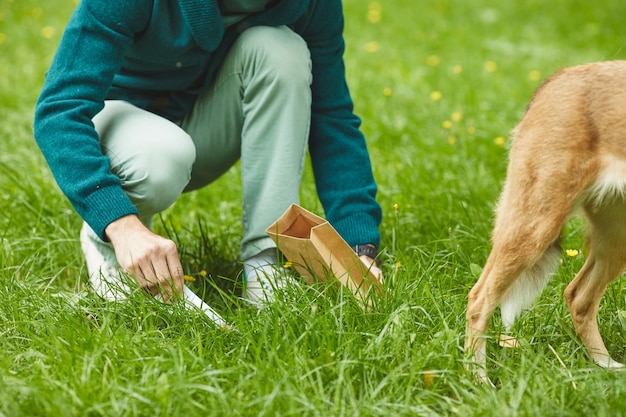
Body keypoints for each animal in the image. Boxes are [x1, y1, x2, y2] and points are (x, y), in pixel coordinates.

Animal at [464, 60, 626, 382]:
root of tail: (560, 76)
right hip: (533, 228)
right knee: (478, 301)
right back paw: (478, 381)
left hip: (616, 236)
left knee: (579, 298)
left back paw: (605, 366)